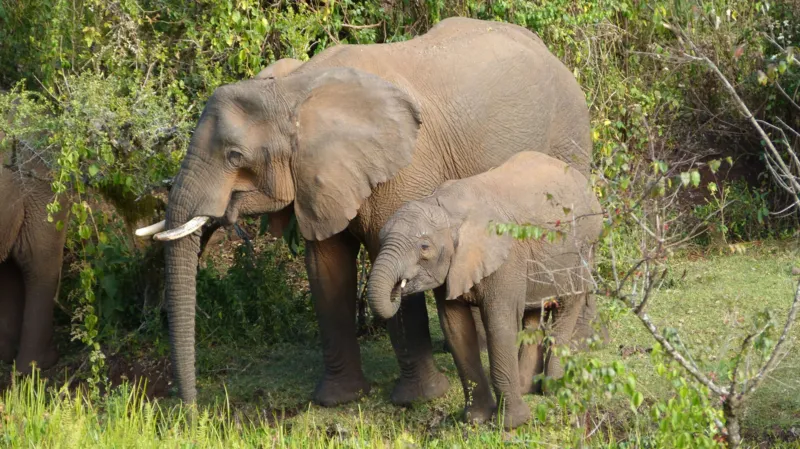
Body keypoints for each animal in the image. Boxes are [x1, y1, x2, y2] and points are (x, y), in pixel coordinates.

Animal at [135, 16, 593, 407]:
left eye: (234, 156)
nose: (188, 410)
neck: (294, 90)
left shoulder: (405, 168)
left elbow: (387, 258)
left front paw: (417, 399)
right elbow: (326, 267)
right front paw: (337, 399)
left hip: (570, 138)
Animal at [367, 151, 603, 429]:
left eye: (424, 247)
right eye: (380, 240)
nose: (397, 289)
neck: (446, 209)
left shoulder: (505, 258)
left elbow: (500, 325)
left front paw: (511, 424)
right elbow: (456, 328)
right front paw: (476, 419)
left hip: (582, 247)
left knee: (566, 308)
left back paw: (552, 389)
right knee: (532, 315)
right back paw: (526, 389)